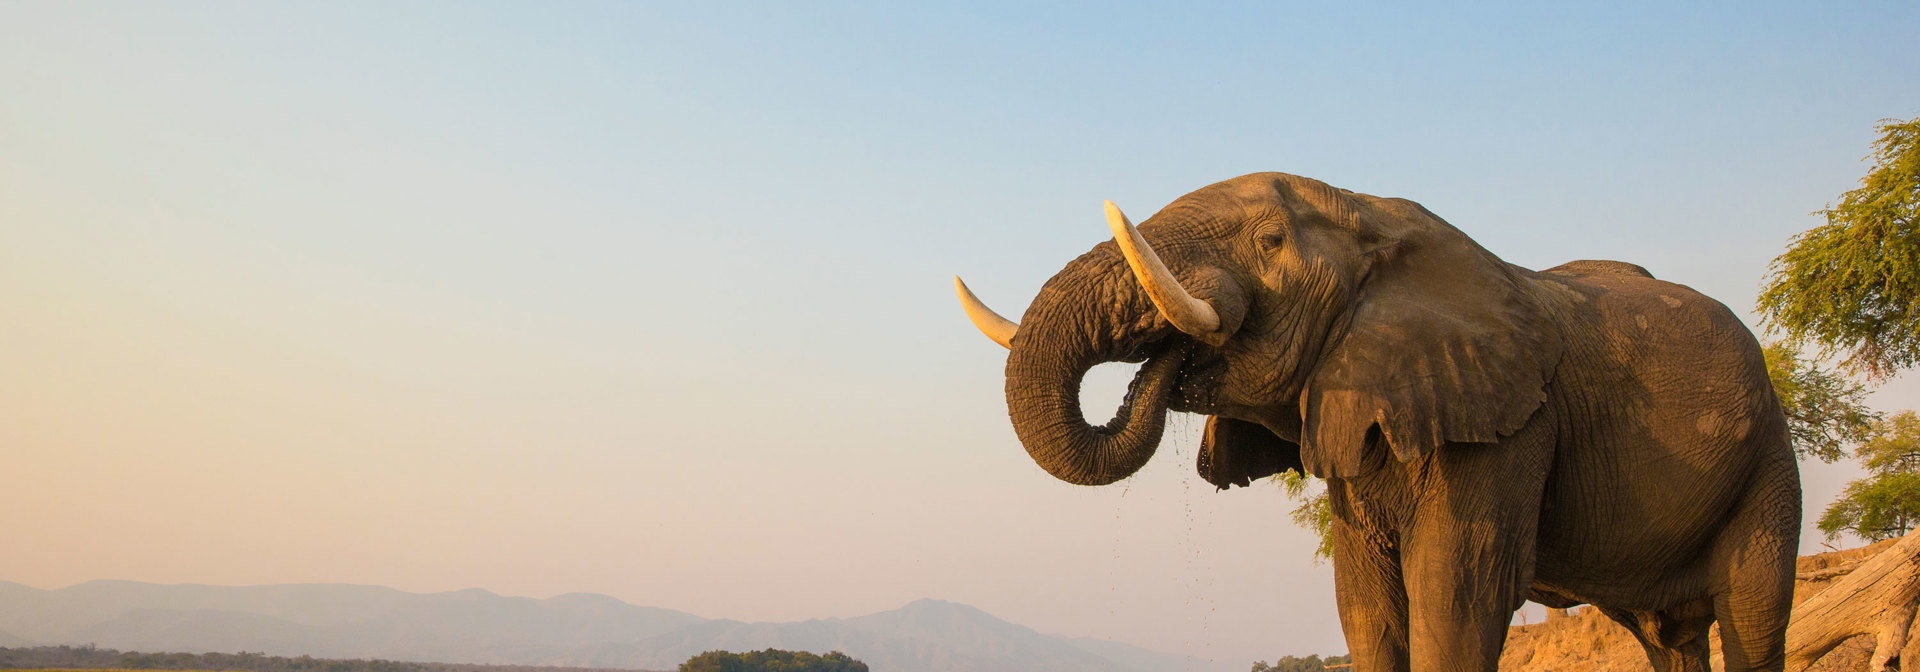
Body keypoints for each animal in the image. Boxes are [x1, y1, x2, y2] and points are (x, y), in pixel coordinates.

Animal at [953, 173, 1800, 672]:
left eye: (1269, 242)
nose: (1170, 359)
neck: (1374, 216)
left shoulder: (1509, 428)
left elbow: (1455, 600)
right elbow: (1366, 610)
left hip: (1768, 457)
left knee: (1753, 617)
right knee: (1669, 641)